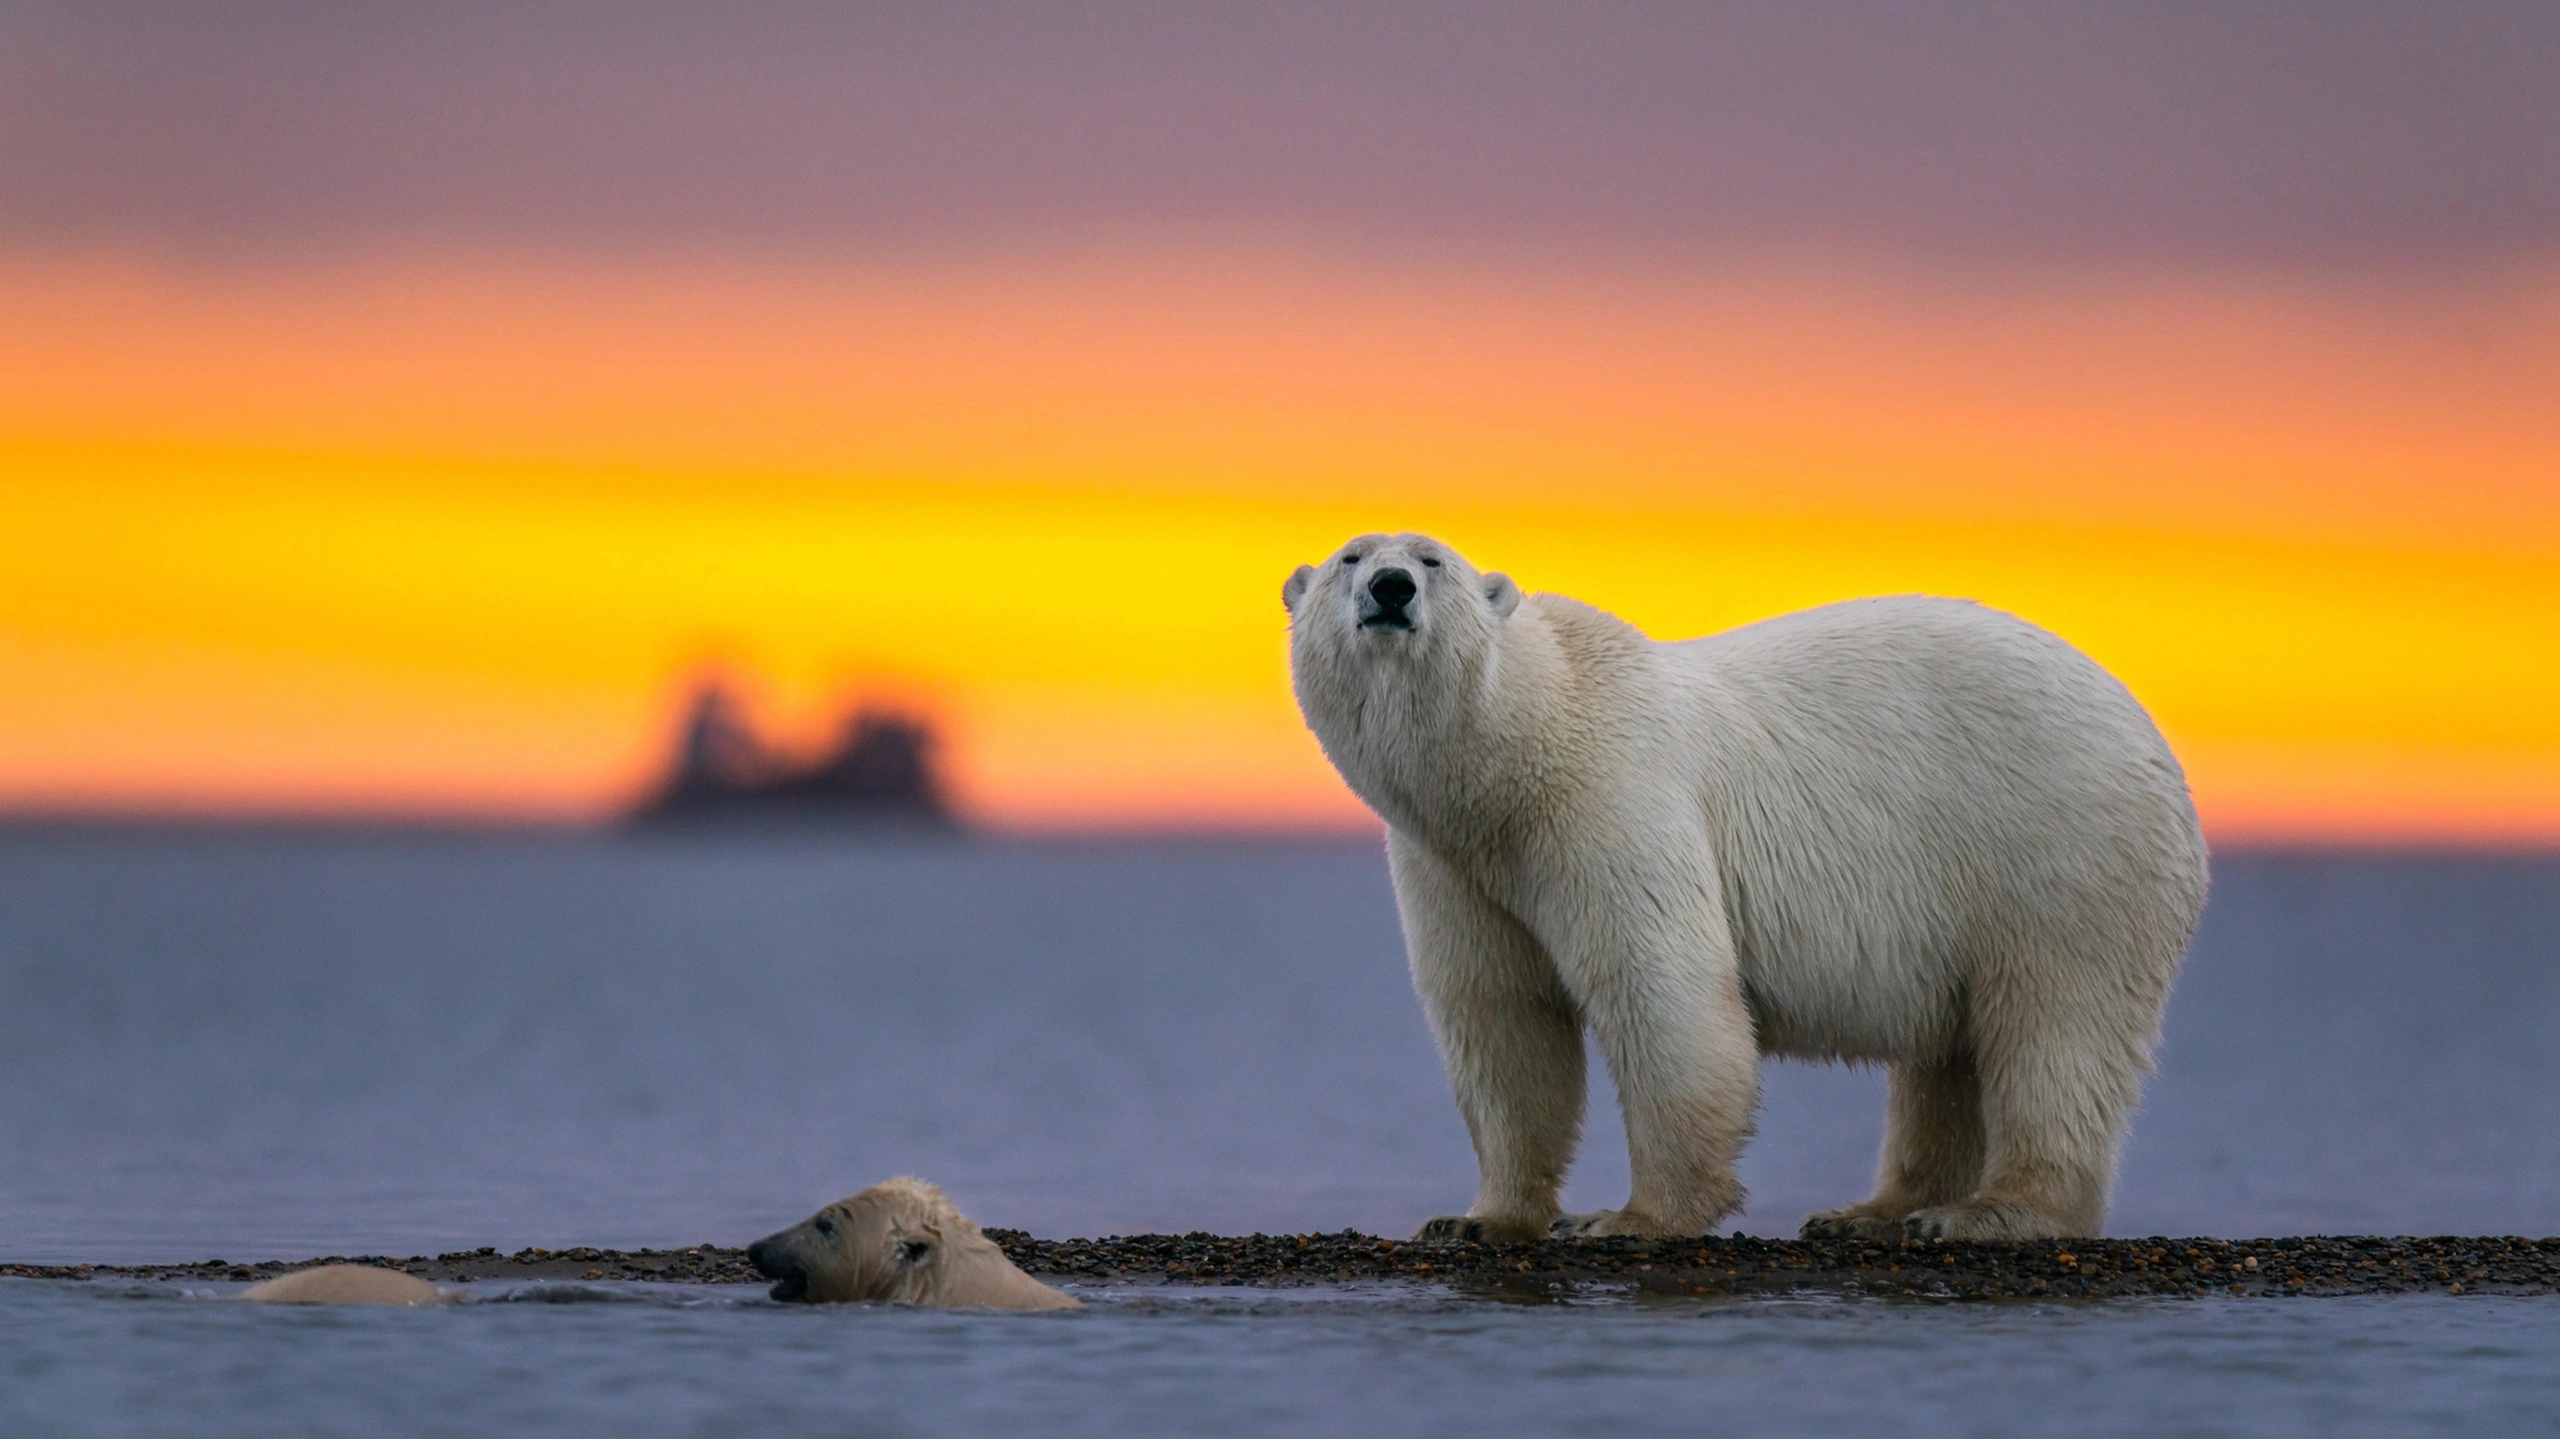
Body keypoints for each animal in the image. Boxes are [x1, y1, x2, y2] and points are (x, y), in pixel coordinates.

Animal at [1290, 532, 2211, 1239]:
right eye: (1349, 555)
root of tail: (2157, 744)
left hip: (2060, 848)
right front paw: (1477, 1218)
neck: (1519, 755)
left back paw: (1988, 1212)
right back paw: (1873, 1211)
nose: (1391, 586)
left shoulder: (1614, 798)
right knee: (1947, 1057)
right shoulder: (1454, 865)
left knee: (2055, 1027)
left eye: (1432, 558)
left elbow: (1663, 990)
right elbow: (1501, 1018)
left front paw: (1630, 1218)